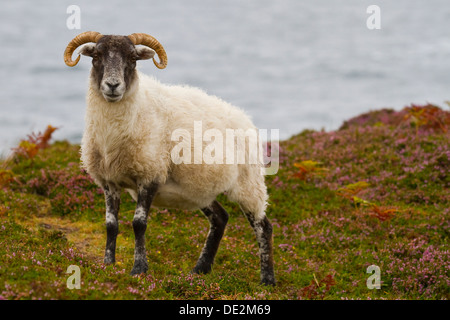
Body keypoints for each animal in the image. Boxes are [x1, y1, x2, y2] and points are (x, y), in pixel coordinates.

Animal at [62, 30, 274, 284]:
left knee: (263, 226)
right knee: (220, 218)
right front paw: (108, 265)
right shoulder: (109, 181)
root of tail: (245, 118)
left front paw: (139, 269)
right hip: (199, 189)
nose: (112, 86)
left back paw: (267, 280)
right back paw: (200, 269)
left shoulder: (150, 175)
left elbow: (139, 223)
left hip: (248, 183)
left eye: (132, 59)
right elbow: (111, 225)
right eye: (96, 56)